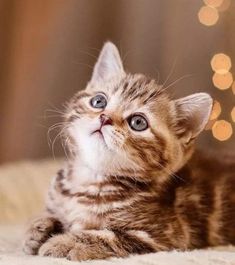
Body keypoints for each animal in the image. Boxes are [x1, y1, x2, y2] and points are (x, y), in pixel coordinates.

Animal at [22, 41, 235, 260]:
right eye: (99, 101)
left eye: (138, 122)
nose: (104, 118)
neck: (87, 180)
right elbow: (47, 215)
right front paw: (37, 230)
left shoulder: (163, 236)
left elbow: (103, 236)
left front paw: (63, 243)